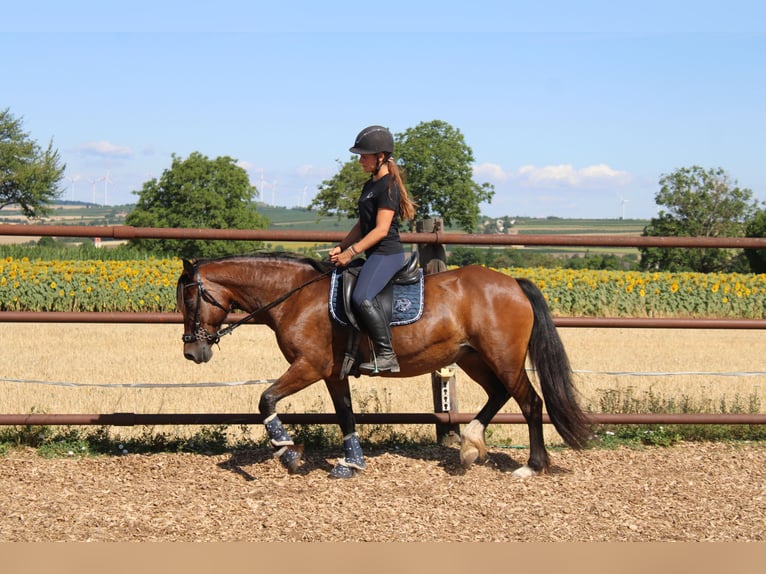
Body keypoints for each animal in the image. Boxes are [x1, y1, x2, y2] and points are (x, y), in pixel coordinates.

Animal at [177, 252, 591, 479]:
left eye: (191, 300)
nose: (193, 352)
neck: (295, 297)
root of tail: (515, 284)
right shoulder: (332, 374)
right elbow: (345, 415)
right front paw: (351, 464)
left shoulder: (309, 366)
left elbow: (265, 400)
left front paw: (288, 453)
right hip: (473, 357)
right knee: (500, 394)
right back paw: (471, 445)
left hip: (502, 356)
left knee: (531, 403)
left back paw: (531, 466)